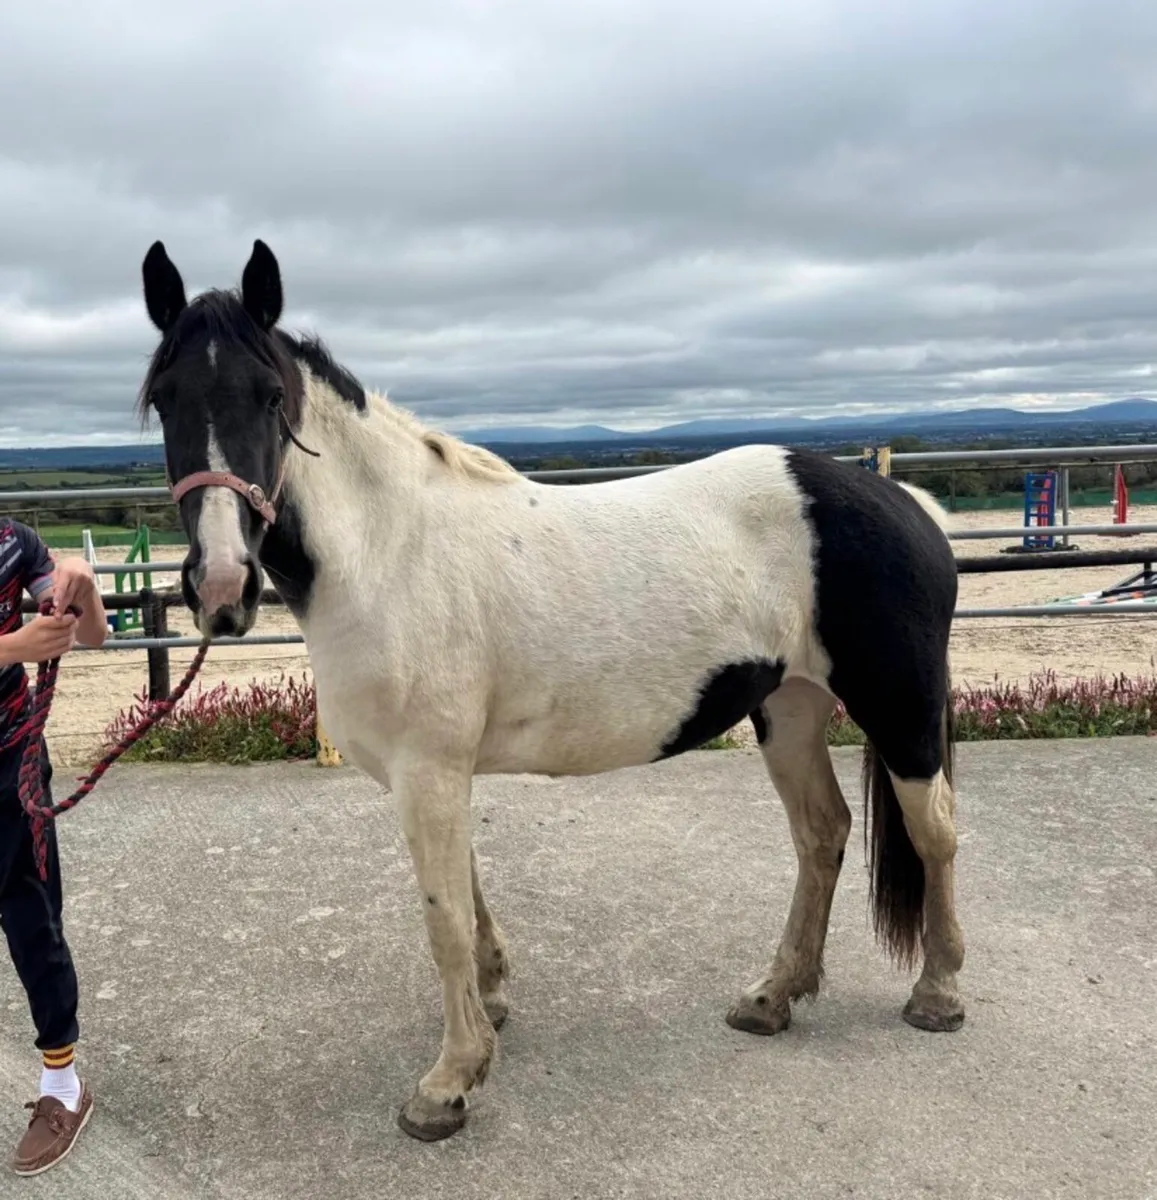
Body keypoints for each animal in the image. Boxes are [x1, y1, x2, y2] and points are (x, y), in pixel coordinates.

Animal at [137, 238, 965, 1142]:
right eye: (163, 399)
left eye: (269, 398)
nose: (222, 584)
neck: (392, 552)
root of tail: (903, 500)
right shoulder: (436, 772)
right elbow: (465, 893)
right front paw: (491, 1006)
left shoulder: (428, 770)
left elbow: (443, 917)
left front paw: (448, 1084)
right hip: (788, 711)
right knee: (821, 835)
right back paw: (773, 997)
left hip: (899, 710)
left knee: (934, 834)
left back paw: (936, 994)